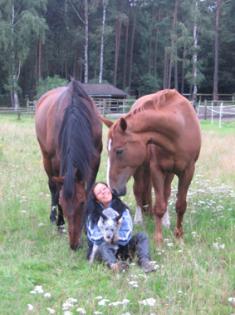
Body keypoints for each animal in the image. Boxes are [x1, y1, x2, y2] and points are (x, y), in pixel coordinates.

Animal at [35, 80, 102, 251]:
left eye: (82, 203)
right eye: (63, 205)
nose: (74, 245)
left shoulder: (95, 160)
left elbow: (89, 190)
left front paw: (87, 227)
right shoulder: (57, 162)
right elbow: (58, 191)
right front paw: (60, 224)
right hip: (46, 159)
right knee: (52, 186)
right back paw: (53, 218)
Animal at [102, 89, 200, 247]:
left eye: (119, 151)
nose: (113, 189)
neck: (178, 129)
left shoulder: (187, 171)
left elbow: (180, 205)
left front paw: (179, 237)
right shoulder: (156, 169)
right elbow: (159, 206)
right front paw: (158, 240)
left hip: (169, 173)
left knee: (166, 193)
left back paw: (165, 221)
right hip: (139, 169)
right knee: (139, 191)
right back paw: (139, 219)